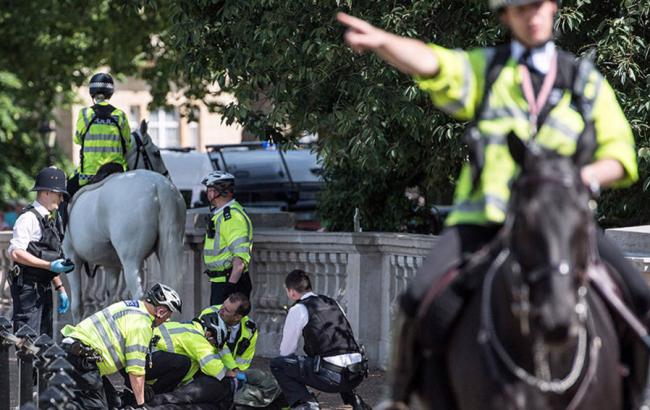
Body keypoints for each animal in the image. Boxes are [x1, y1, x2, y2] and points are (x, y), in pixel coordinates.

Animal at [63, 120, 187, 320]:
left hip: (131, 259)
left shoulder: (72, 258)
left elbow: (77, 305)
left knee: (139, 295)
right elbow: (110, 299)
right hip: (166, 249)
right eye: (157, 152)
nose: (169, 175)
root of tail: (159, 187)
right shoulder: (111, 264)